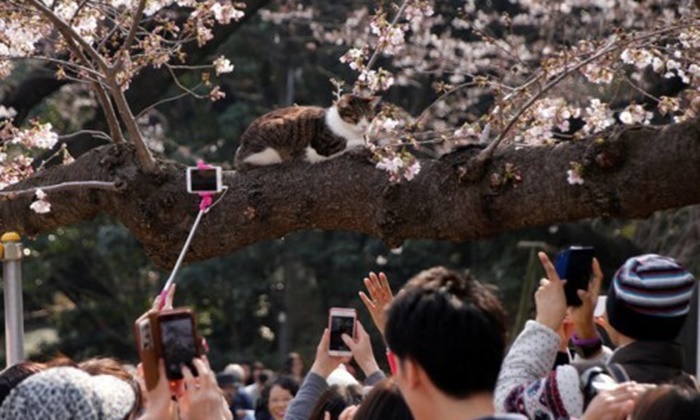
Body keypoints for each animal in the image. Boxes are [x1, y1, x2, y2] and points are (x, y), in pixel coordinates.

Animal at [234, 94, 378, 170]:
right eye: (356, 117)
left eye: (369, 118)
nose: (365, 126)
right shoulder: (324, 146)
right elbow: (348, 143)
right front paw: (364, 143)